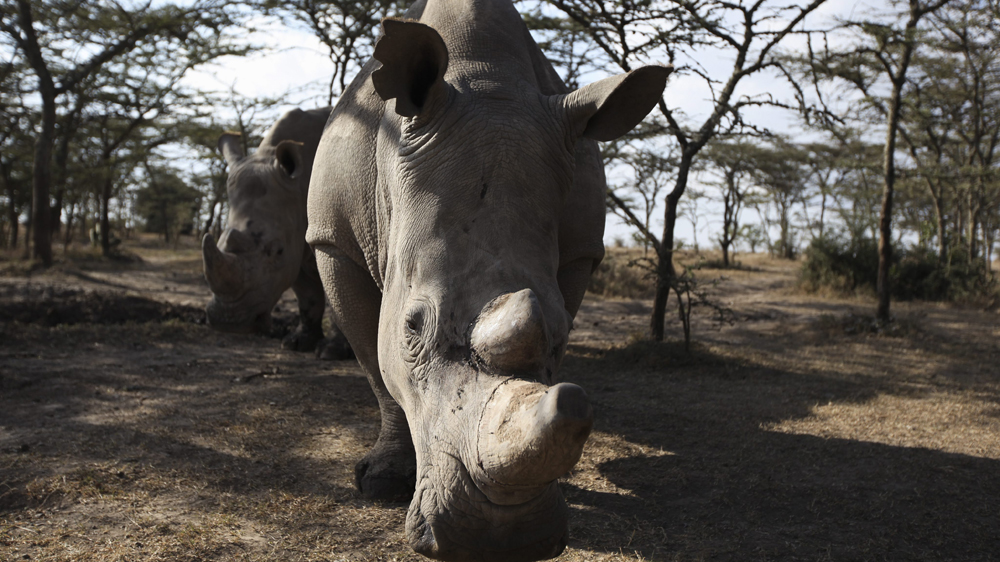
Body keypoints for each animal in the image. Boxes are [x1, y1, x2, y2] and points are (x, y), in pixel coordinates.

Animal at [203, 107, 352, 360]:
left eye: (277, 251)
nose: (228, 321)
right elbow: (307, 296)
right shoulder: (296, 243)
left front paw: (331, 352)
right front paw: (296, 343)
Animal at [306, 0, 670, 559]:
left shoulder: (581, 252)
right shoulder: (332, 239)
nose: (499, 539)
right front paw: (382, 483)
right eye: (412, 327)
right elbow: (375, 366)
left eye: (563, 333)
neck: (482, 77)